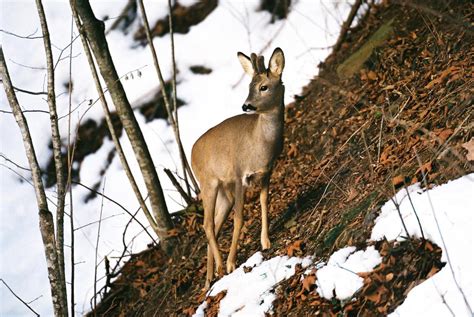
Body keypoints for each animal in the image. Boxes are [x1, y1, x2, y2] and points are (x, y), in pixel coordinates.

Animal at [192, 47, 286, 288]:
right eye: (249, 86)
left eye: (263, 87)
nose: (246, 105)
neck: (260, 143)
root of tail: (191, 152)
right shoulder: (238, 176)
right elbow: (239, 219)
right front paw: (231, 263)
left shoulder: (267, 172)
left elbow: (264, 202)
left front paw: (265, 241)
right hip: (208, 183)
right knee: (206, 224)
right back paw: (220, 267)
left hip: (224, 193)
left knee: (214, 225)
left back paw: (209, 277)